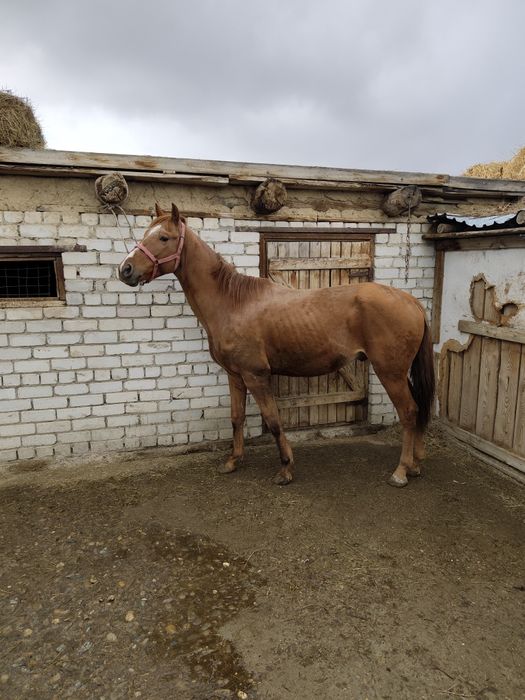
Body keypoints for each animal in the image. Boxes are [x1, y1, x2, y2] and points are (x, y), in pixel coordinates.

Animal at [118, 203, 435, 488]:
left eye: (163, 237)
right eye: (146, 233)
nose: (125, 269)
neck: (233, 303)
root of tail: (411, 301)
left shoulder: (256, 376)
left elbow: (273, 421)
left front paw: (285, 469)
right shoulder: (235, 375)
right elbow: (237, 417)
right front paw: (233, 461)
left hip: (390, 372)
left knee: (409, 412)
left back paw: (401, 471)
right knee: (418, 408)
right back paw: (416, 464)